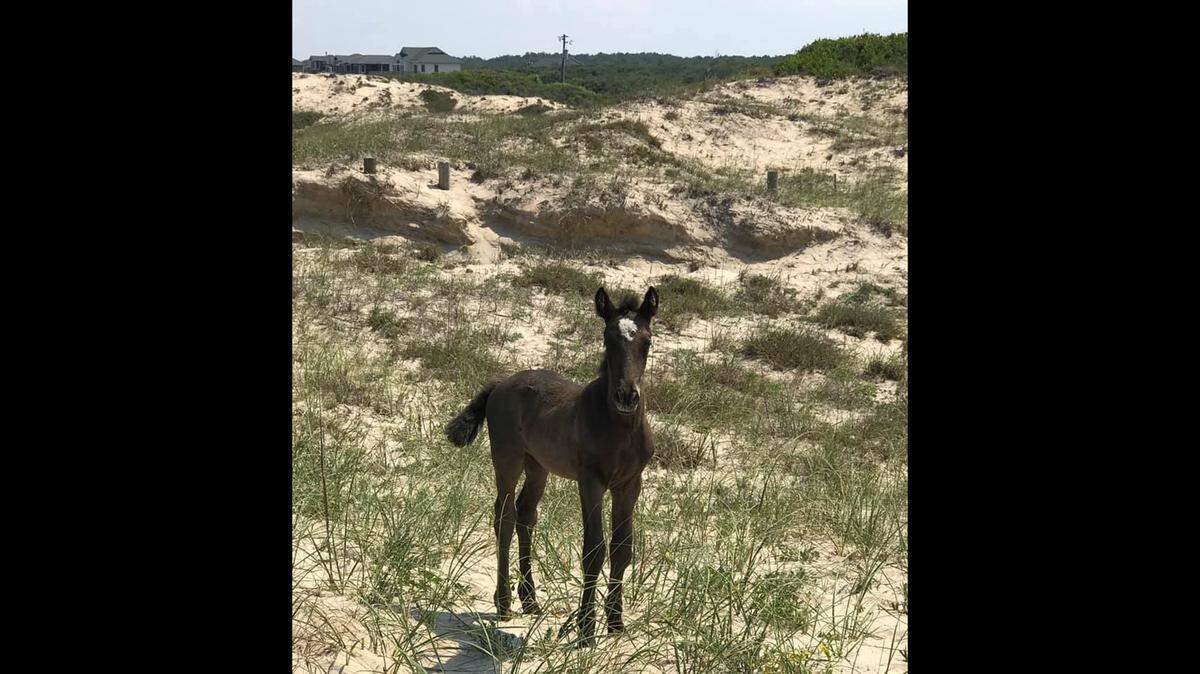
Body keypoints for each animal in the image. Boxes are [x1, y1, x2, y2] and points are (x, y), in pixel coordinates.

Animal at [445, 285, 658, 645]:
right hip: (507, 458)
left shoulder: (630, 483)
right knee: (504, 516)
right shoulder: (590, 482)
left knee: (526, 515)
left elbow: (622, 548)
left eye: (647, 341)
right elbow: (593, 549)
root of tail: (500, 383)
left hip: (538, 466)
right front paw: (586, 630)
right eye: (607, 340)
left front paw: (616, 624)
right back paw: (504, 603)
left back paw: (530, 599)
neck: (619, 427)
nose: (627, 396)